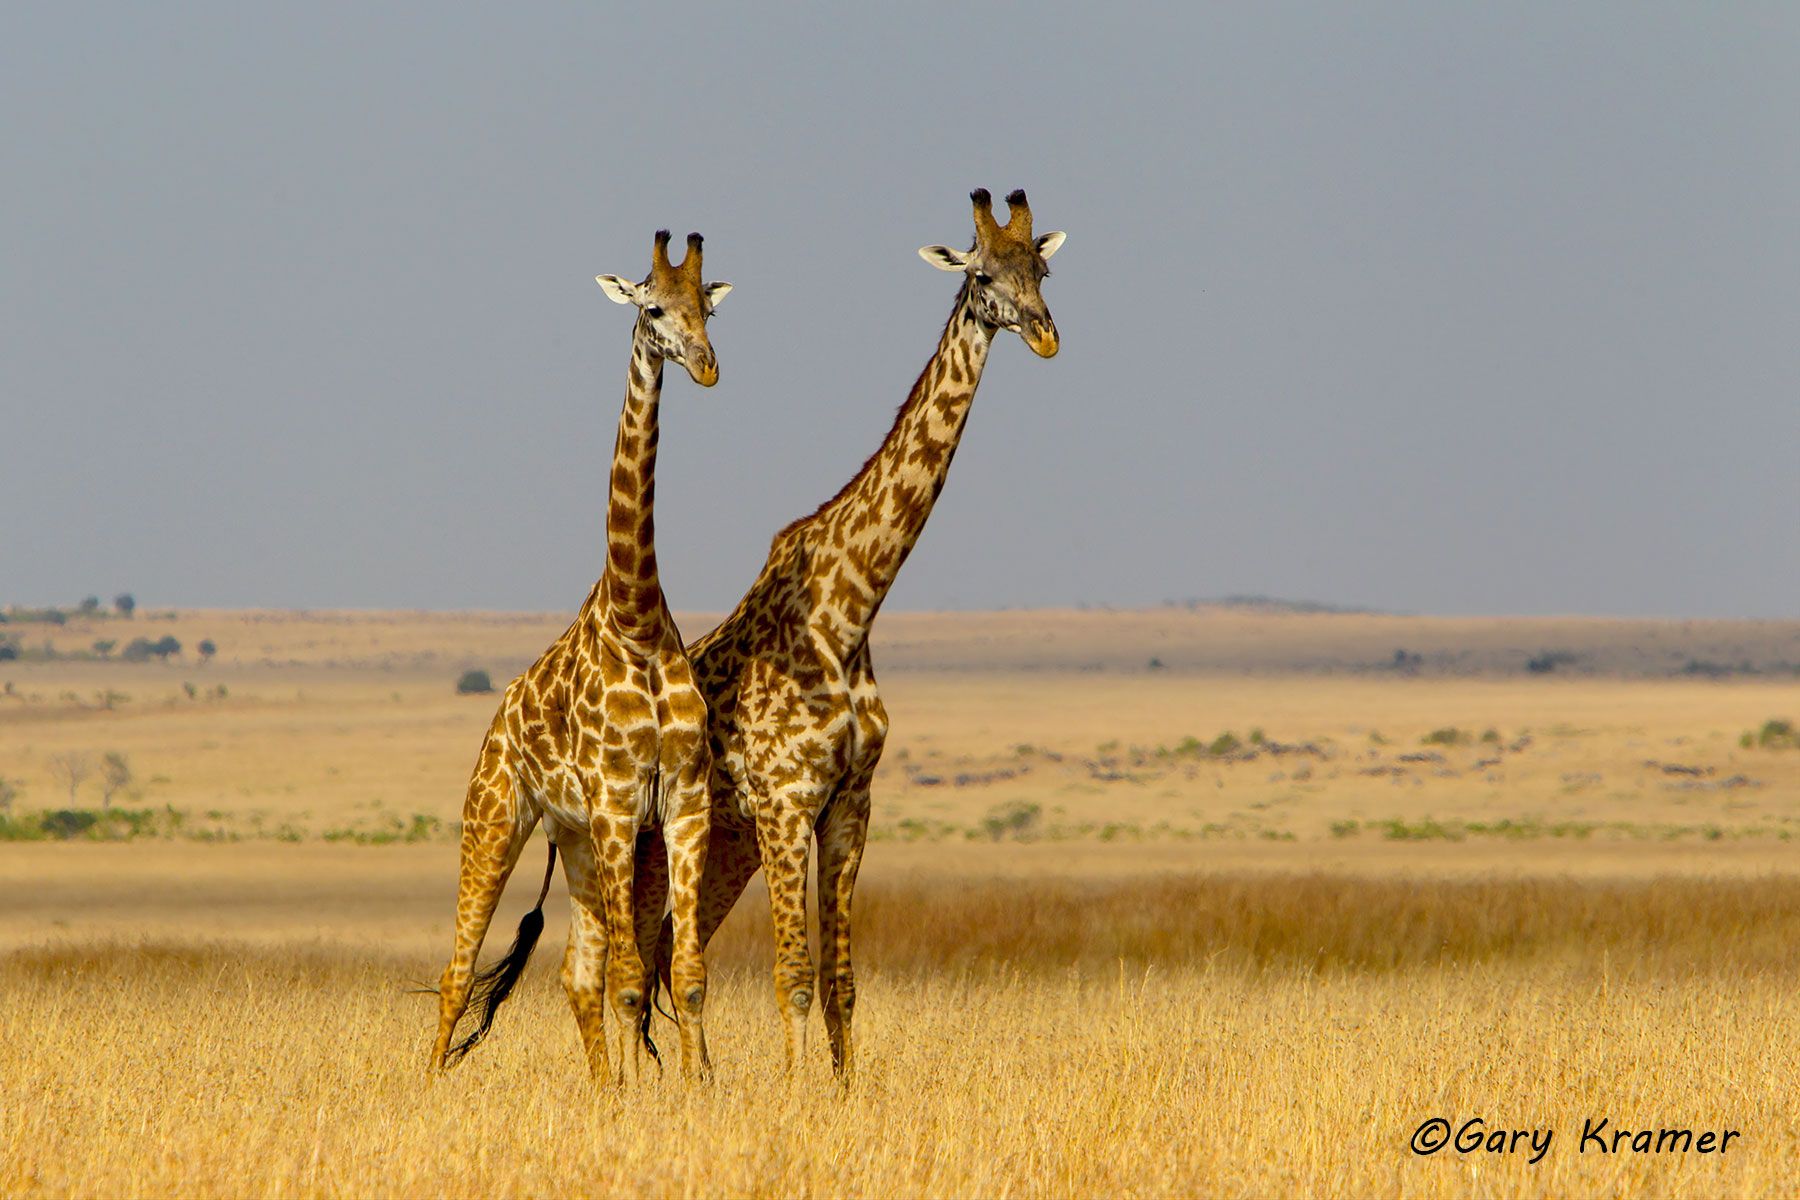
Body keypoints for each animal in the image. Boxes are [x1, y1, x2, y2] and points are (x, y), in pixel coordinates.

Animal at [429, 229, 731, 1084]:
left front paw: (693, 1090)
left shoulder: (683, 800)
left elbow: (684, 975)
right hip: (498, 816)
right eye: (653, 309)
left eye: (709, 309)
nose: (706, 366)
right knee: (457, 971)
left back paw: (603, 1088)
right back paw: (428, 1084)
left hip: (577, 844)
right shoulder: (617, 799)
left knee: (574, 973)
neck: (636, 616)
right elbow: (633, 977)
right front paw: (643, 1094)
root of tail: (497, 720)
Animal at [652, 189, 1064, 1076]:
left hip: (719, 846)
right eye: (982, 274)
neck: (847, 612)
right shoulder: (784, 803)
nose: (1047, 334)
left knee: (669, 953)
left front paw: (846, 1094)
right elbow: (794, 977)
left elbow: (843, 984)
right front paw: (796, 1093)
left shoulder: (849, 803)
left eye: (1042, 271)